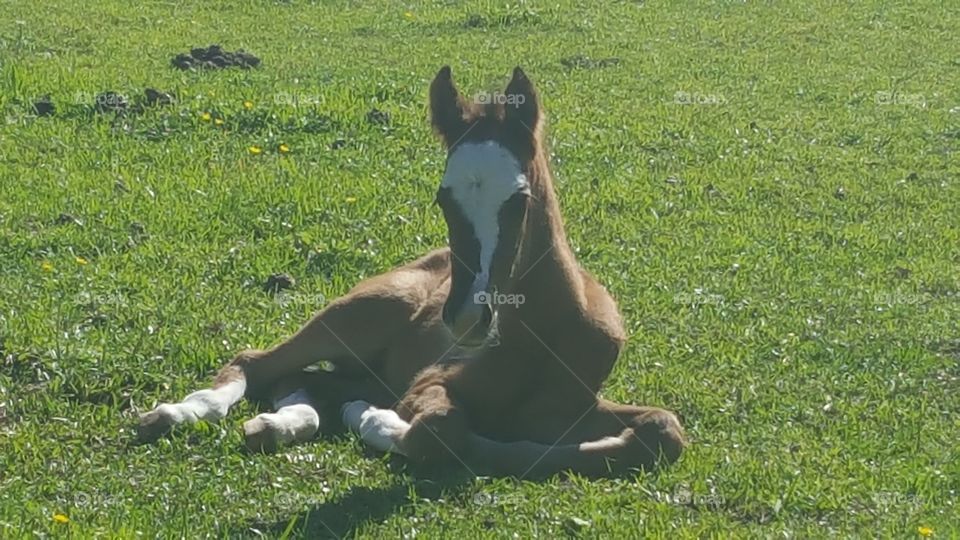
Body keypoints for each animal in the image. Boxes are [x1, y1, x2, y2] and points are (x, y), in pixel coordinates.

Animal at [137, 66, 685, 477]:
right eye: (444, 197)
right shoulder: (426, 384)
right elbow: (439, 433)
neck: (544, 336)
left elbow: (663, 431)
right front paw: (373, 421)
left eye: (519, 199)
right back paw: (178, 414)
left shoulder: (573, 408)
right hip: (353, 318)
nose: (467, 320)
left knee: (302, 381)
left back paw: (278, 425)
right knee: (257, 362)